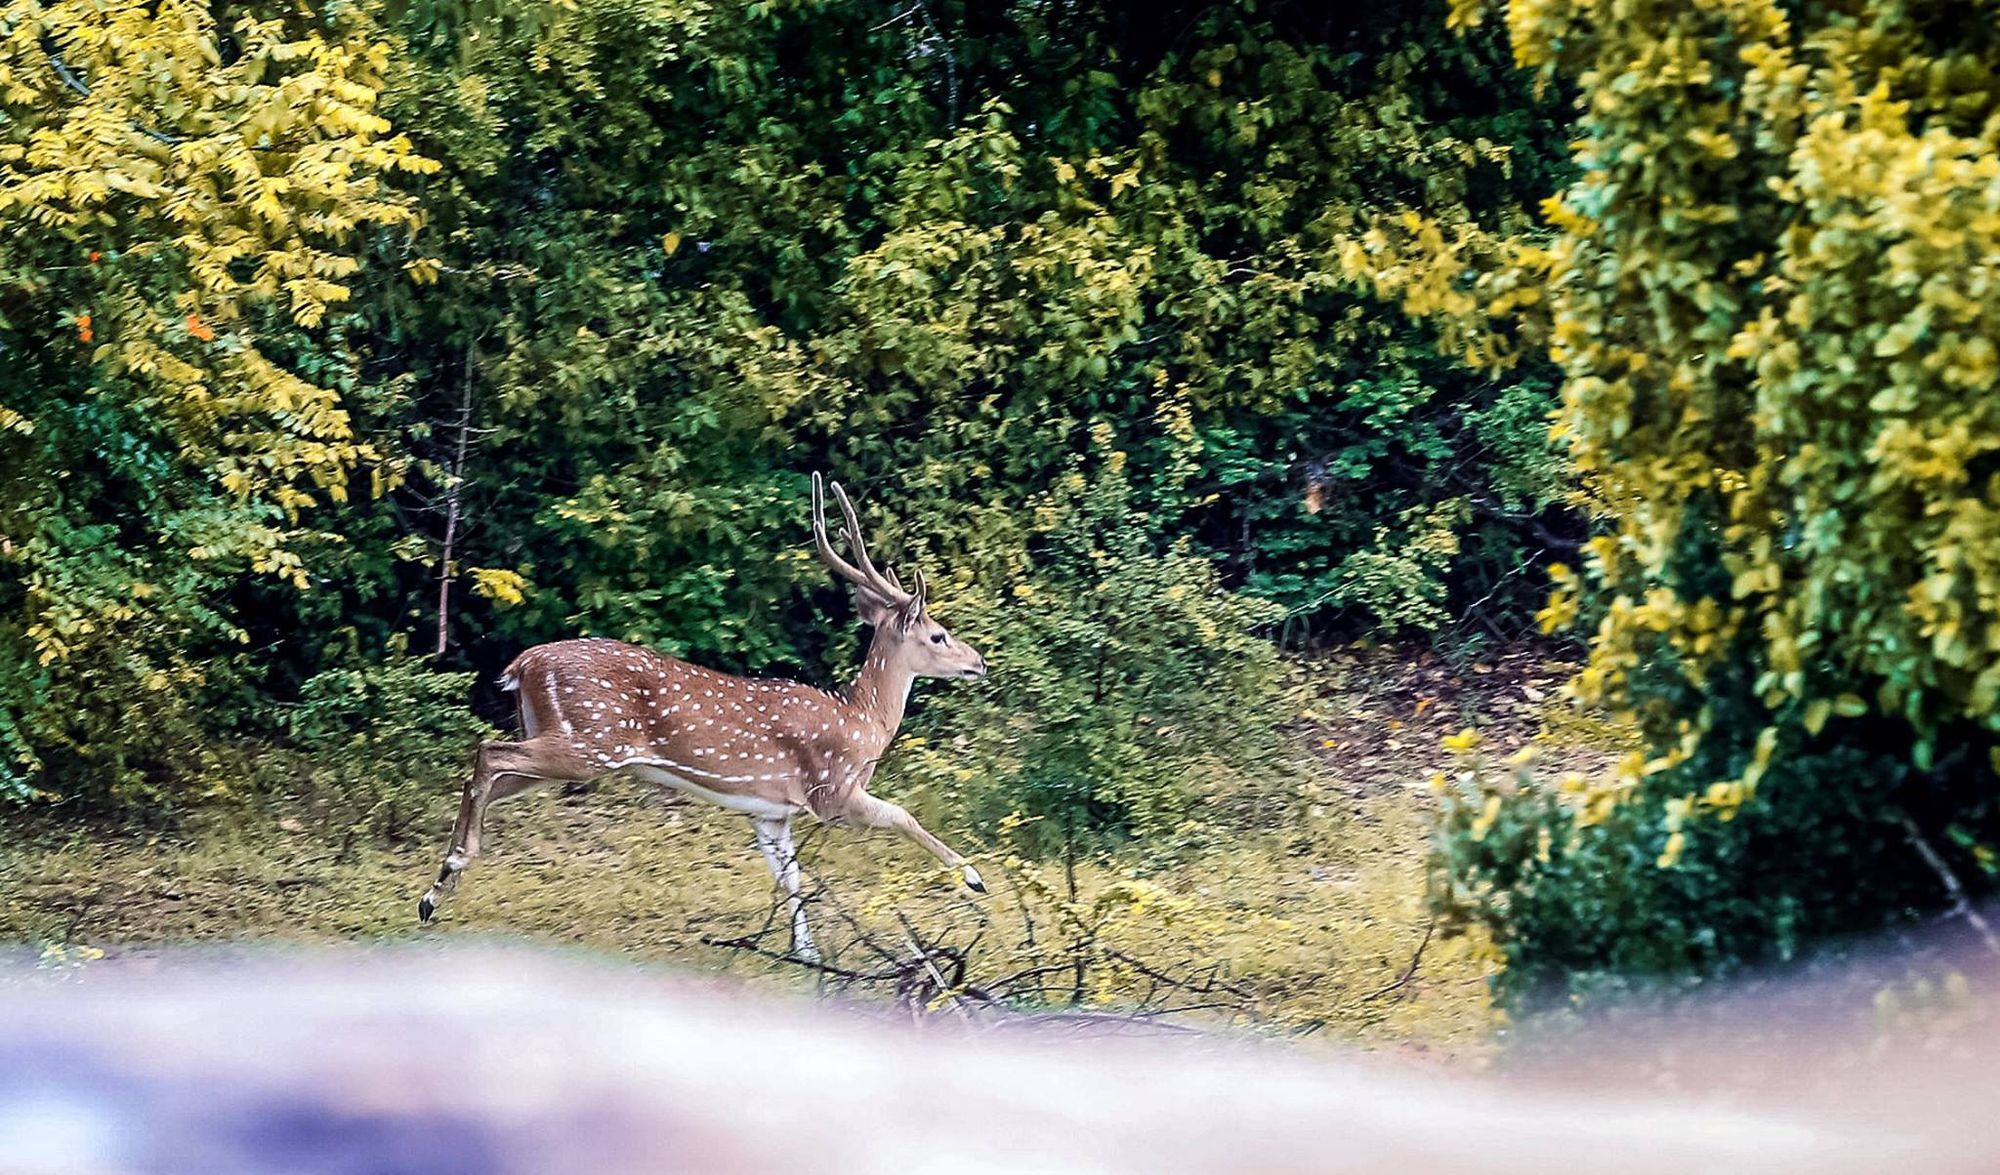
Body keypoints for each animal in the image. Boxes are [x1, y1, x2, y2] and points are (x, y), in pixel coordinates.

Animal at [416, 473, 992, 959]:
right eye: (938, 635)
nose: (979, 661)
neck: (864, 722)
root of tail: (523, 666)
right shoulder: (831, 791)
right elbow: (903, 816)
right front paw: (973, 879)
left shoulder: (771, 811)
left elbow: (790, 877)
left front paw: (806, 953)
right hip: (592, 741)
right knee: (488, 753)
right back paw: (453, 867)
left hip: (558, 737)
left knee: (489, 773)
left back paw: (434, 893)